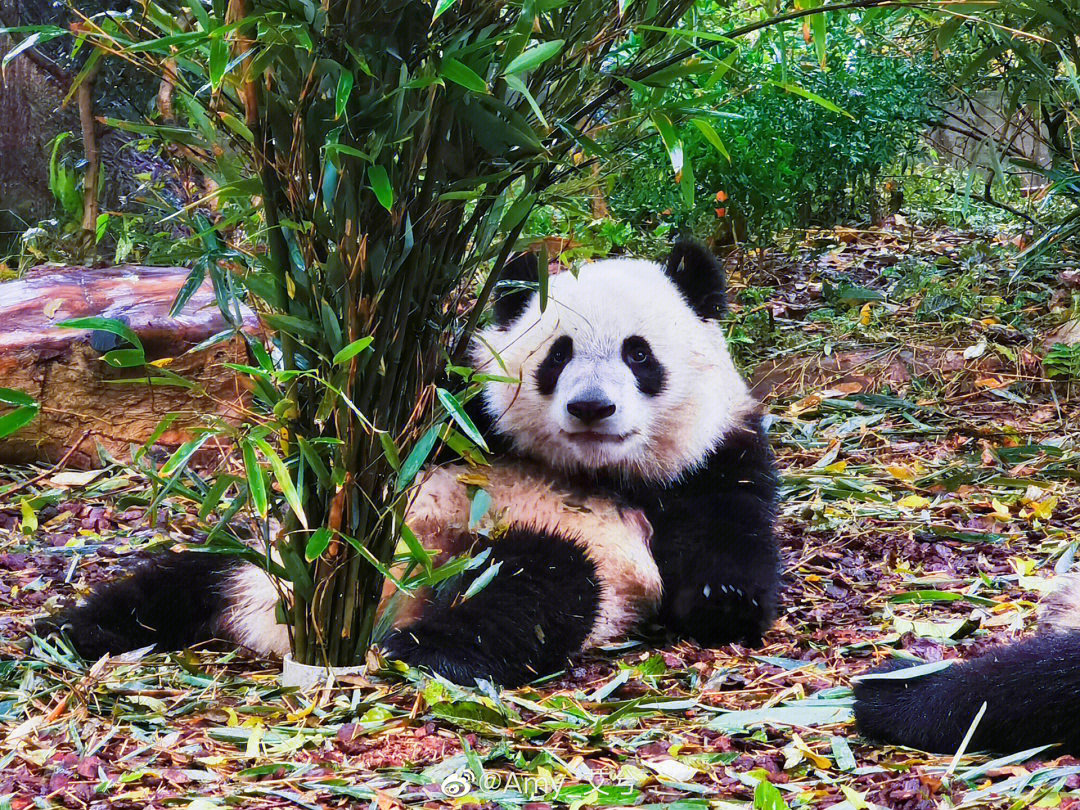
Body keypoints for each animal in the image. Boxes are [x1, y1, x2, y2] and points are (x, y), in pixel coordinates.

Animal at [33, 240, 777, 686]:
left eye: (639, 354)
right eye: (557, 354)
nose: (592, 407)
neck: (583, 468)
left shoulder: (715, 454)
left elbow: (725, 534)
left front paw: (724, 603)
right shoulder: (462, 412)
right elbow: (363, 432)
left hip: (552, 559)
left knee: (536, 587)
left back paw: (423, 649)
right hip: (271, 565)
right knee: (186, 578)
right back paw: (75, 628)